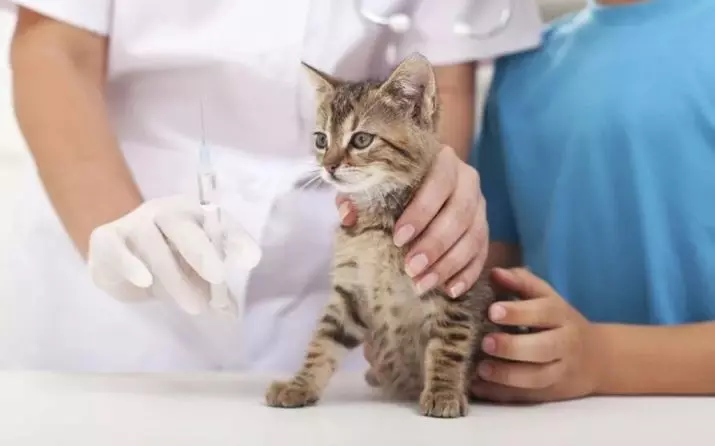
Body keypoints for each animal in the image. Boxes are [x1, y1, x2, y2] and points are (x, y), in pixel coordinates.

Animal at [264, 52, 498, 418]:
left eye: (361, 139)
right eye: (321, 140)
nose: (329, 166)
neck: (375, 225)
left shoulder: (451, 285)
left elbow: (448, 344)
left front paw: (443, 392)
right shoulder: (349, 292)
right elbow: (323, 341)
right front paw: (300, 385)